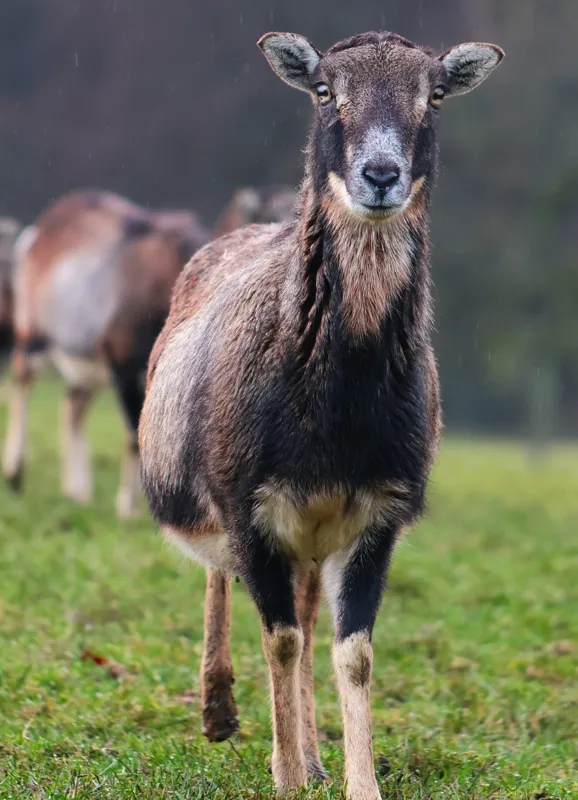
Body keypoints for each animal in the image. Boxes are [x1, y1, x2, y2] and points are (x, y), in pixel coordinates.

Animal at [3, 189, 208, 516]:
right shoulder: (124, 366)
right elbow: (134, 436)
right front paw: (127, 509)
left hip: (89, 368)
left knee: (72, 406)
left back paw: (79, 493)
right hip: (33, 336)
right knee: (22, 378)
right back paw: (15, 474)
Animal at [139, 30, 503, 799]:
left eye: (434, 95)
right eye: (326, 92)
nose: (381, 174)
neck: (336, 412)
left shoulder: (377, 513)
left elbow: (351, 651)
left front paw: (350, 780)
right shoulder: (247, 504)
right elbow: (279, 639)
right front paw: (283, 776)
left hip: (310, 536)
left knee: (309, 618)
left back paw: (308, 751)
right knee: (230, 586)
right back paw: (220, 714)